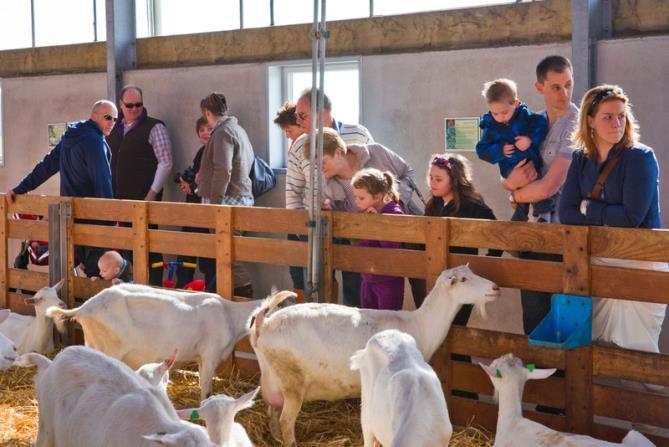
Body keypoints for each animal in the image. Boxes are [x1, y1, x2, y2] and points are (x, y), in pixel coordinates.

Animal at [45, 286, 260, 400]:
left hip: (93, 344)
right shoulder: (210, 356)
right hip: (109, 349)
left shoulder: (201, 359)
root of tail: (84, 308)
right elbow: (206, 390)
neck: (229, 314)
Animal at [248, 264, 498, 446]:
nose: (496, 288)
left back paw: (275, 437)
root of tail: (264, 324)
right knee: (286, 420)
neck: (421, 322)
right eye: (463, 280)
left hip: (273, 379)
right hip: (291, 379)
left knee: (272, 411)